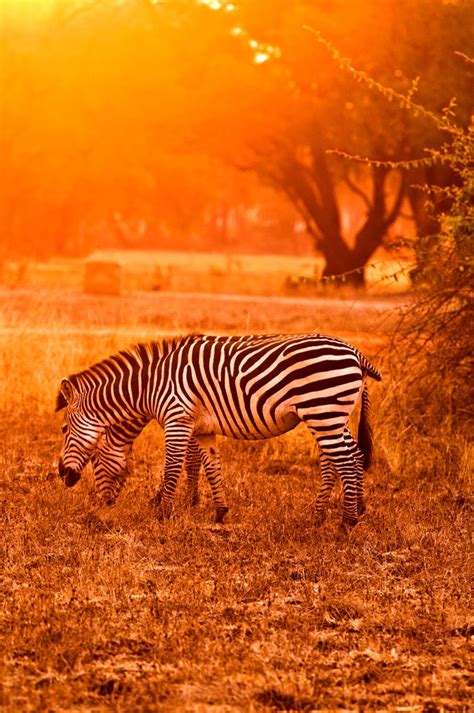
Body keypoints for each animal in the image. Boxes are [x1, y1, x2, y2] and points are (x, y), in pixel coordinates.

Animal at [56, 330, 382, 524]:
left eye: (64, 430)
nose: (62, 475)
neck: (149, 386)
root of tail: (355, 352)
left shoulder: (177, 420)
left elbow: (174, 466)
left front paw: (163, 511)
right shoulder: (201, 429)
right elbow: (210, 466)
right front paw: (219, 512)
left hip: (323, 412)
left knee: (344, 460)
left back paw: (346, 521)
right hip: (332, 415)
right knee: (350, 456)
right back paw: (339, 511)